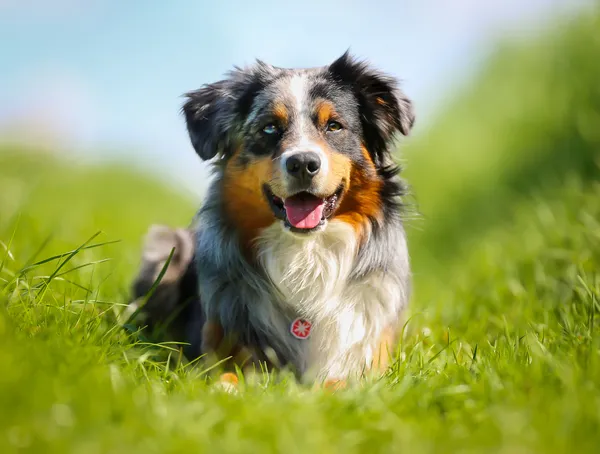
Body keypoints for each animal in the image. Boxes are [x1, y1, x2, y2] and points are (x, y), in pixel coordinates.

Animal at [129, 52, 414, 386]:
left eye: (334, 126)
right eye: (269, 127)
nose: (303, 163)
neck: (306, 254)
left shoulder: (368, 360)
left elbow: (342, 383)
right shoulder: (215, 352)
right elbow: (228, 376)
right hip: (167, 246)